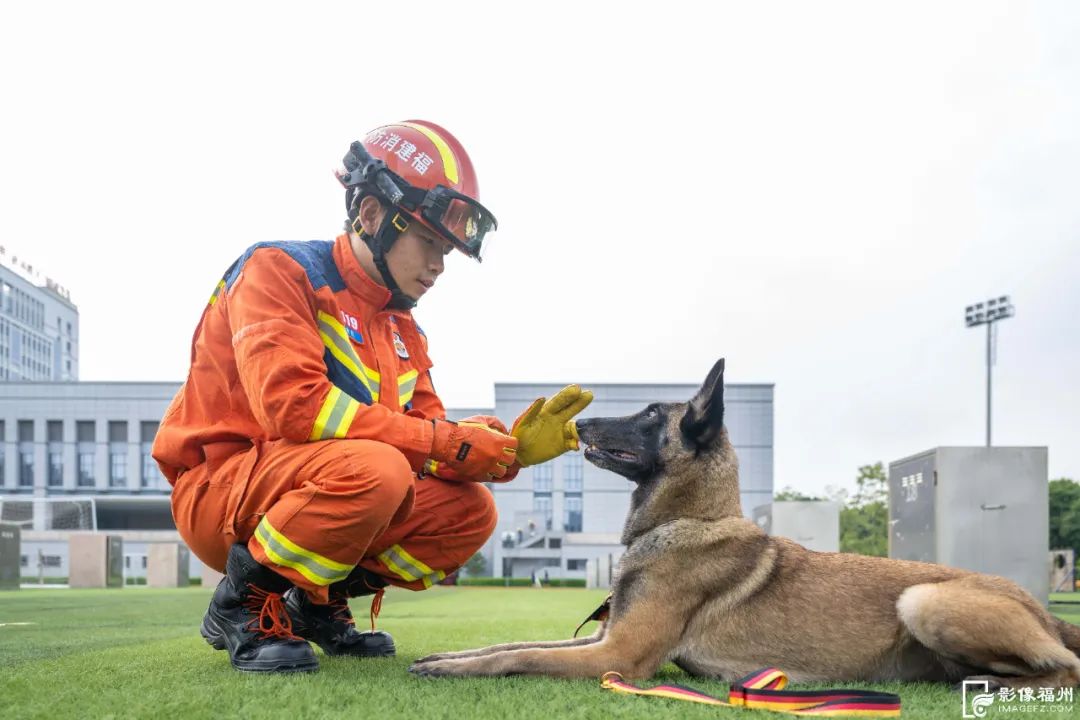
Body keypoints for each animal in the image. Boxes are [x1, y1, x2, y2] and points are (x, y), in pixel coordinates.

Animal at [410, 358, 1080, 690]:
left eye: (649, 413)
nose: (580, 424)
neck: (689, 519)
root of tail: (1042, 609)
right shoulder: (605, 639)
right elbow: (509, 644)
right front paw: (448, 657)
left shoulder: (620, 655)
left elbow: (518, 658)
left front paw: (453, 669)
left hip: (922, 600)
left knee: (1065, 670)